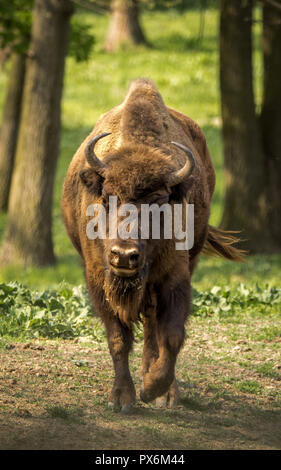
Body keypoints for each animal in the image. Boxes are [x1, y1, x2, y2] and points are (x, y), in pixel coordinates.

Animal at [61, 79, 243, 414]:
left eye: (159, 201)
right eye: (106, 197)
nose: (124, 255)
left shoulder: (174, 277)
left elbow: (170, 335)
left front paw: (155, 390)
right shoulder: (98, 279)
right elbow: (118, 338)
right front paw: (122, 398)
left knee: (151, 327)